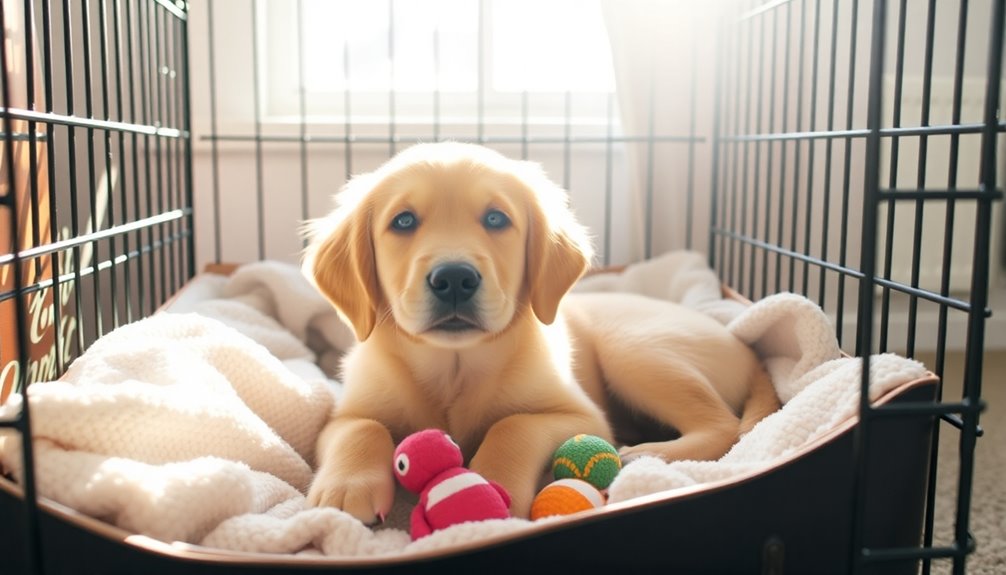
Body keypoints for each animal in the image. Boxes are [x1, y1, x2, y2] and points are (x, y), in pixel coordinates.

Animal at [297, 142, 776, 522]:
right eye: (403, 222)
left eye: (496, 219)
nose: (454, 278)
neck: (454, 366)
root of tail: (747, 351)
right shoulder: (344, 415)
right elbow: (363, 429)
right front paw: (346, 489)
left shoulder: (582, 416)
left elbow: (513, 425)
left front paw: (489, 481)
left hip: (634, 348)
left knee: (724, 424)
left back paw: (650, 452)